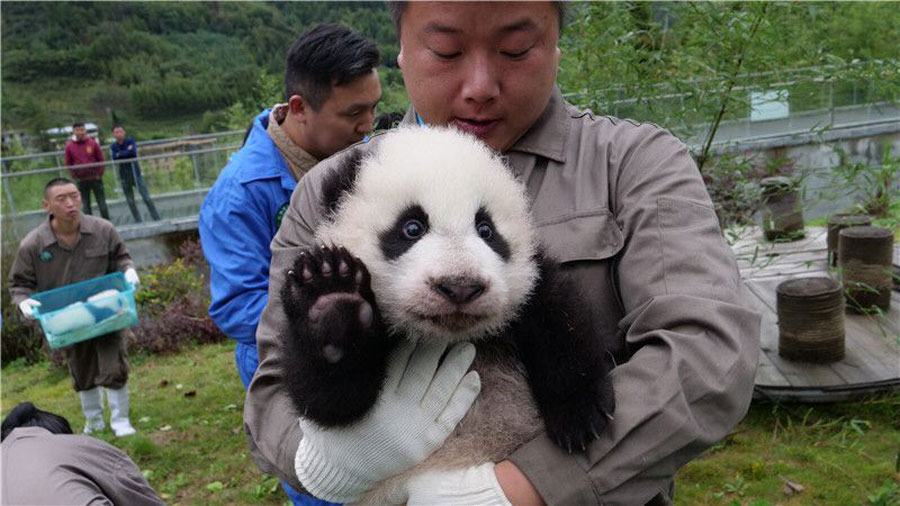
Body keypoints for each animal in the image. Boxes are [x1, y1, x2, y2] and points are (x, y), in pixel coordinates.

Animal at [280, 126, 615, 503]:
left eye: (486, 229)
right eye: (412, 227)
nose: (460, 286)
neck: (448, 335)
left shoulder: (529, 284)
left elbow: (559, 321)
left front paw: (578, 413)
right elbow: (332, 400)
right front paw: (331, 299)